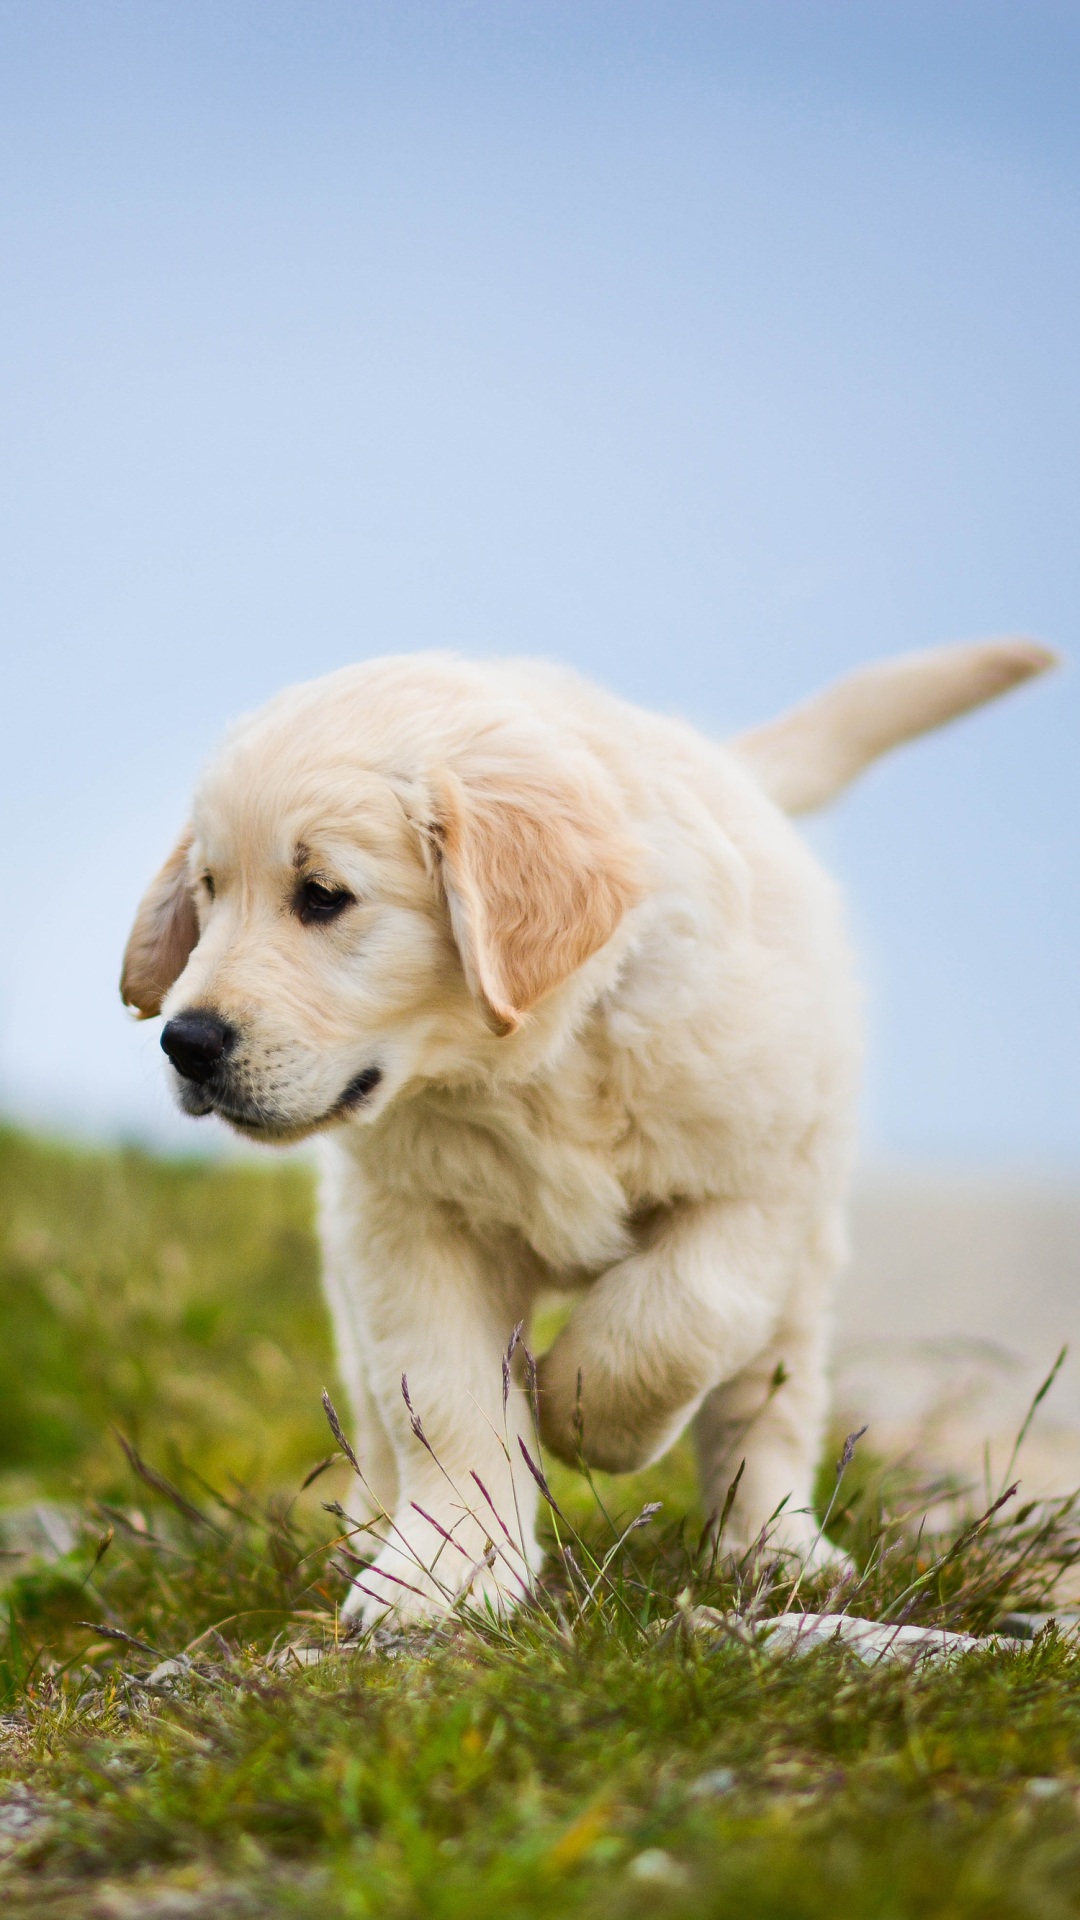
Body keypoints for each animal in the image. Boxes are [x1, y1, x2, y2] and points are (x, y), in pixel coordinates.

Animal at [119, 637, 1053, 1612]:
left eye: (323, 894)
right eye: (209, 889)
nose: (185, 1041)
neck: (533, 1063)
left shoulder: (761, 1186)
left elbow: (680, 1316)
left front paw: (581, 1410)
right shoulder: (407, 1223)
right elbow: (442, 1398)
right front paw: (446, 1567)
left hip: (806, 1256)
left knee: (768, 1398)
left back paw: (775, 1546)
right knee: (375, 1417)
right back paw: (375, 1524)